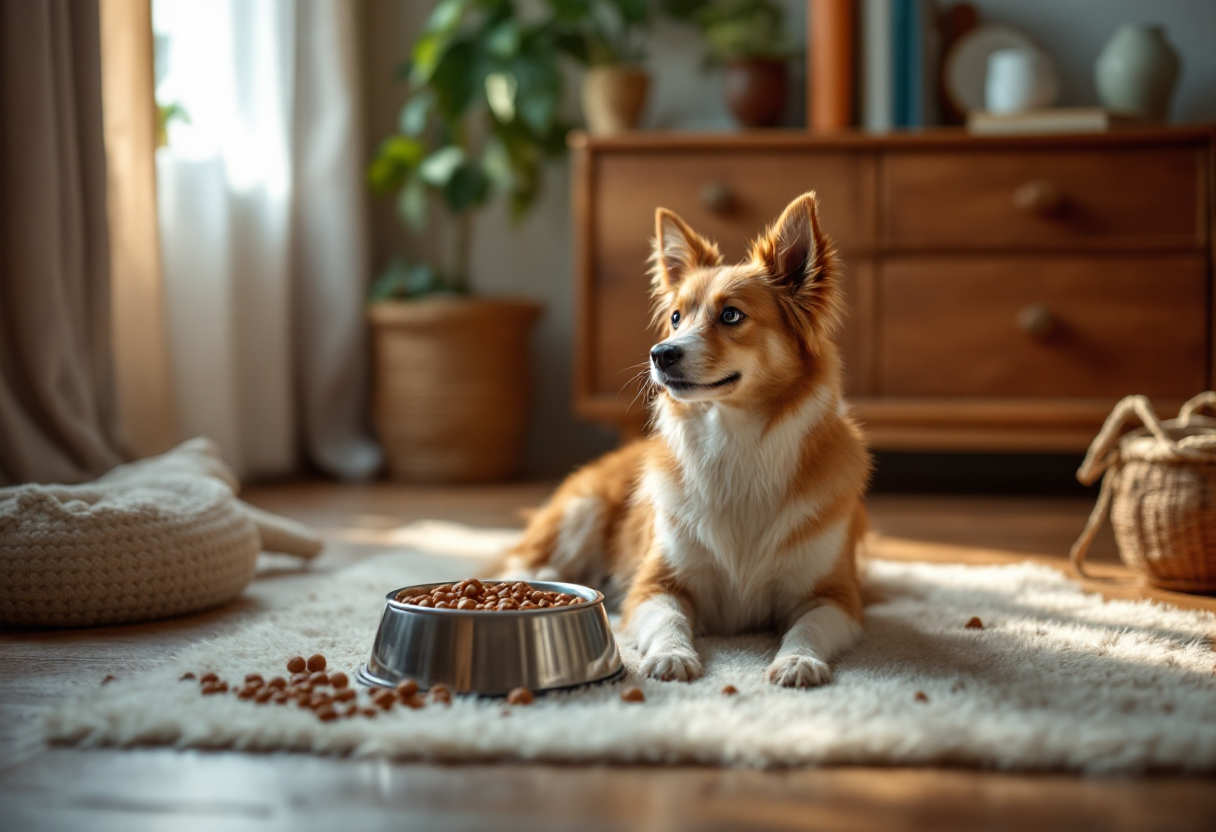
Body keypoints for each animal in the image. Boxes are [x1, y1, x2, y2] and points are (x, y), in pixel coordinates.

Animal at [505, 192, 875, 686]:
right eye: (676, 318)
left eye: (731, 315)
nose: (660, 355)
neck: (735, 441)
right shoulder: (656, 584)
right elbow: (669, 617)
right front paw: (673, 655)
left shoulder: (835, 595)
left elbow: (809, 626)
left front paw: (798, 660)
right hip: (581, 511)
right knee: (522, 559)